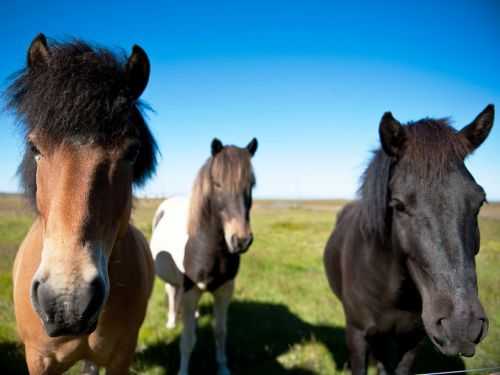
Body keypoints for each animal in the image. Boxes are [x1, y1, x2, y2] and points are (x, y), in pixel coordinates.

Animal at [149, 138, 258, 375]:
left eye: (252, 185)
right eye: (217, 184)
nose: (241, 240)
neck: (208, 247)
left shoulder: (224, 290)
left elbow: (220, 332)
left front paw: (223, 367)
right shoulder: (190, 290)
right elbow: (187, 340)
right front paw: (183, 371)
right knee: (171, 291)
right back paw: (172, 321)